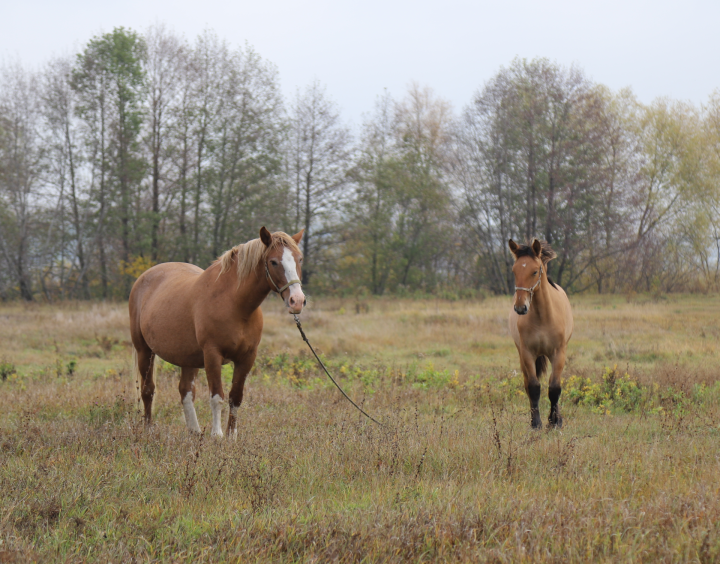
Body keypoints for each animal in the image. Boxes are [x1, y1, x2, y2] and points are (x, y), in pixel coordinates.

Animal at [129, 227, 304, 438]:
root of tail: (144, 278)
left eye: (299, 259)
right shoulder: (212, 355)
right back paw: (148, 429)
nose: (297, 301)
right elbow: (217, 397)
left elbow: (236, 397)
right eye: (274, 262)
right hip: (144, 351)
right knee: (148, 390)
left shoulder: (247, 357)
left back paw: (195, 431)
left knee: (185, 391)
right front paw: (217, 435)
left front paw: (231, 435)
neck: (234, 304)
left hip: (188, 358)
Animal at [506, 238, 572, 428]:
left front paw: (555, 422)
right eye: (514, 270)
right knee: (528, 384)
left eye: (535, 271)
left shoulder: (558, 353)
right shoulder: (527, 353)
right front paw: (536, 423)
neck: (543, 317)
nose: (520, 307)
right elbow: (534, 387)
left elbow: (555, 387)